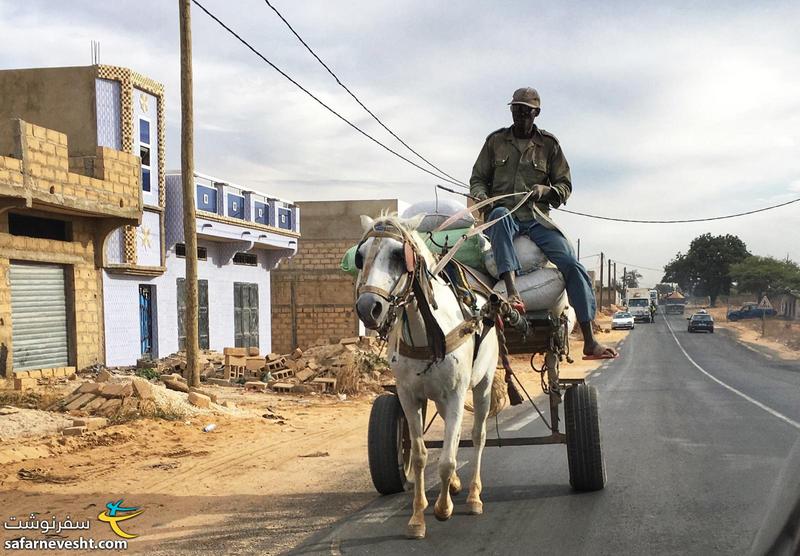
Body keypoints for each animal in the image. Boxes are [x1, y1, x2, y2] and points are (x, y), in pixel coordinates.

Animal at [354, 213, 500, 540]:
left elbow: (446, 459)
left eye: (399, 255)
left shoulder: (457, 393)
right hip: (440, 398)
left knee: (477, 435)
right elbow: (420, 454)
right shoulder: (408, 395)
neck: (429, 333)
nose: (368, 308)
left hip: (481, 386)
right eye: (360, 256)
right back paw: (456, 485)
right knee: (453, 435)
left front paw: (443, 509)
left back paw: (474, 495)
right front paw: (417, 518)